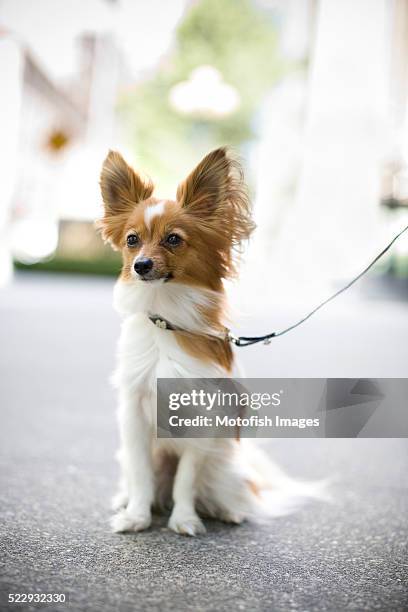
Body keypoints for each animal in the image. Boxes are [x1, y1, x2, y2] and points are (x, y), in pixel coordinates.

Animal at [99, 148, 318, 536]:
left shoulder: (204, 418)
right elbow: (141, 475)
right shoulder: (135, 417)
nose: (141, 265)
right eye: (132, 240)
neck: (166, 320)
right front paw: (137, 517)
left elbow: (186, 480)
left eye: (173, 239)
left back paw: (229, 511)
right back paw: (126, 500)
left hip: (223, 466)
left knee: (220, 488)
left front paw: (184, 520)